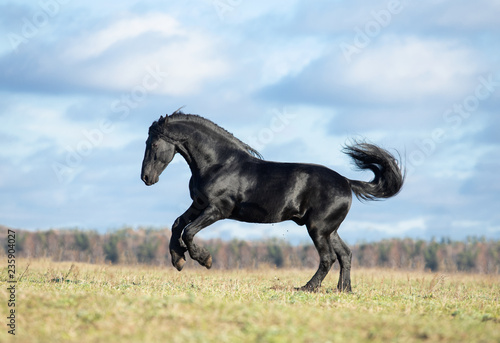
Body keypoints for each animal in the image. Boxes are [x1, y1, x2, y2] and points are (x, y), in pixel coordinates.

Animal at [140, 111, 402, 292]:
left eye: (153, 143)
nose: (146, 178)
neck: (219, 164)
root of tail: (347, 182)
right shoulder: (199, 204)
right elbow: (177, 224)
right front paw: (178, 259)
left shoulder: (218, 209)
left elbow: (189, 231)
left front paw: (204, 259)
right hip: (330, 230)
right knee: (345, 254)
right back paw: (343, 290)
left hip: (318, 229)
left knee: (328, 258)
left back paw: (307, 288)